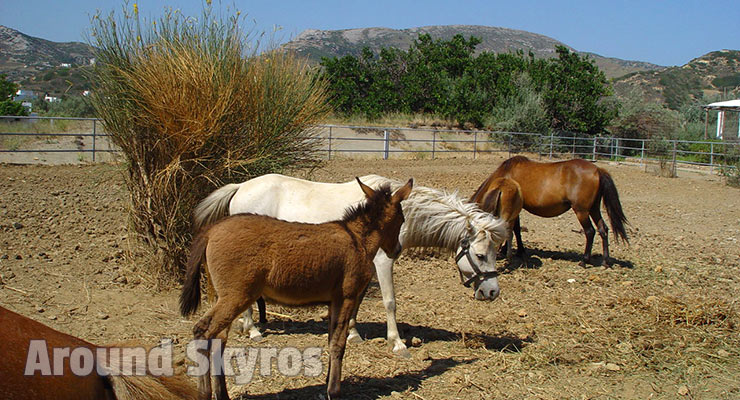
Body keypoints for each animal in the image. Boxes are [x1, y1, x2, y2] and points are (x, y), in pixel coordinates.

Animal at [180, 178, 412, 400]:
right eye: (401, 219)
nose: (397, 250)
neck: (357, 238)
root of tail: (211, 231)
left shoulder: (333, 302)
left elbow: (331, 340)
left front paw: (326, 386)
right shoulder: (346, 297)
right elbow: (338, 344)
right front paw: (334, 392)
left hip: (226, 297)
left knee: (218, 339)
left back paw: (223, 395)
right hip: (236, 296)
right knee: (202, 331)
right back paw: (204, 394)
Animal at [193, 174, 507, 357]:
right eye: (481, 255)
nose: (492, 292)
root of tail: (241, 187)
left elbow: (356, 302)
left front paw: (354, 334)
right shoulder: (383, 262)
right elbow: (390, 302)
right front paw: (397, 342)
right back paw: (253, 329)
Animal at [474, 156, 628, 266]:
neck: (506, 175)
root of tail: (597, 170)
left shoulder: (515, 211)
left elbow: (515, 230)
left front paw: (514, 251)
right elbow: (514, 230)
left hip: (582, 211)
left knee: (590, 232)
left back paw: (584, 261)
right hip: (594, 209)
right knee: (603, 229)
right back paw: (605, 262)